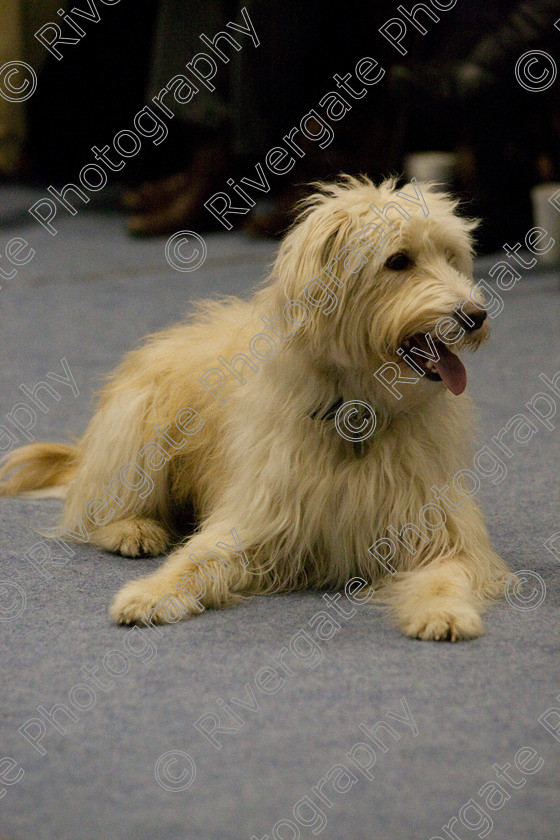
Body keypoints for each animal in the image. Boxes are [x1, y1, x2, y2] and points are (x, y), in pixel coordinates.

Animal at [0, 177, 510, 636]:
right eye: (398, 261)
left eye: (452, 257)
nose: (476, 315)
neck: (358, 409)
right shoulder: (256, 515)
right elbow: (198, 559)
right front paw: (149, 594)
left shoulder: (437, 527)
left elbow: (446, 573)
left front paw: (444, 613)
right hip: (139, 425)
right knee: (94, 508)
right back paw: (132, 530)